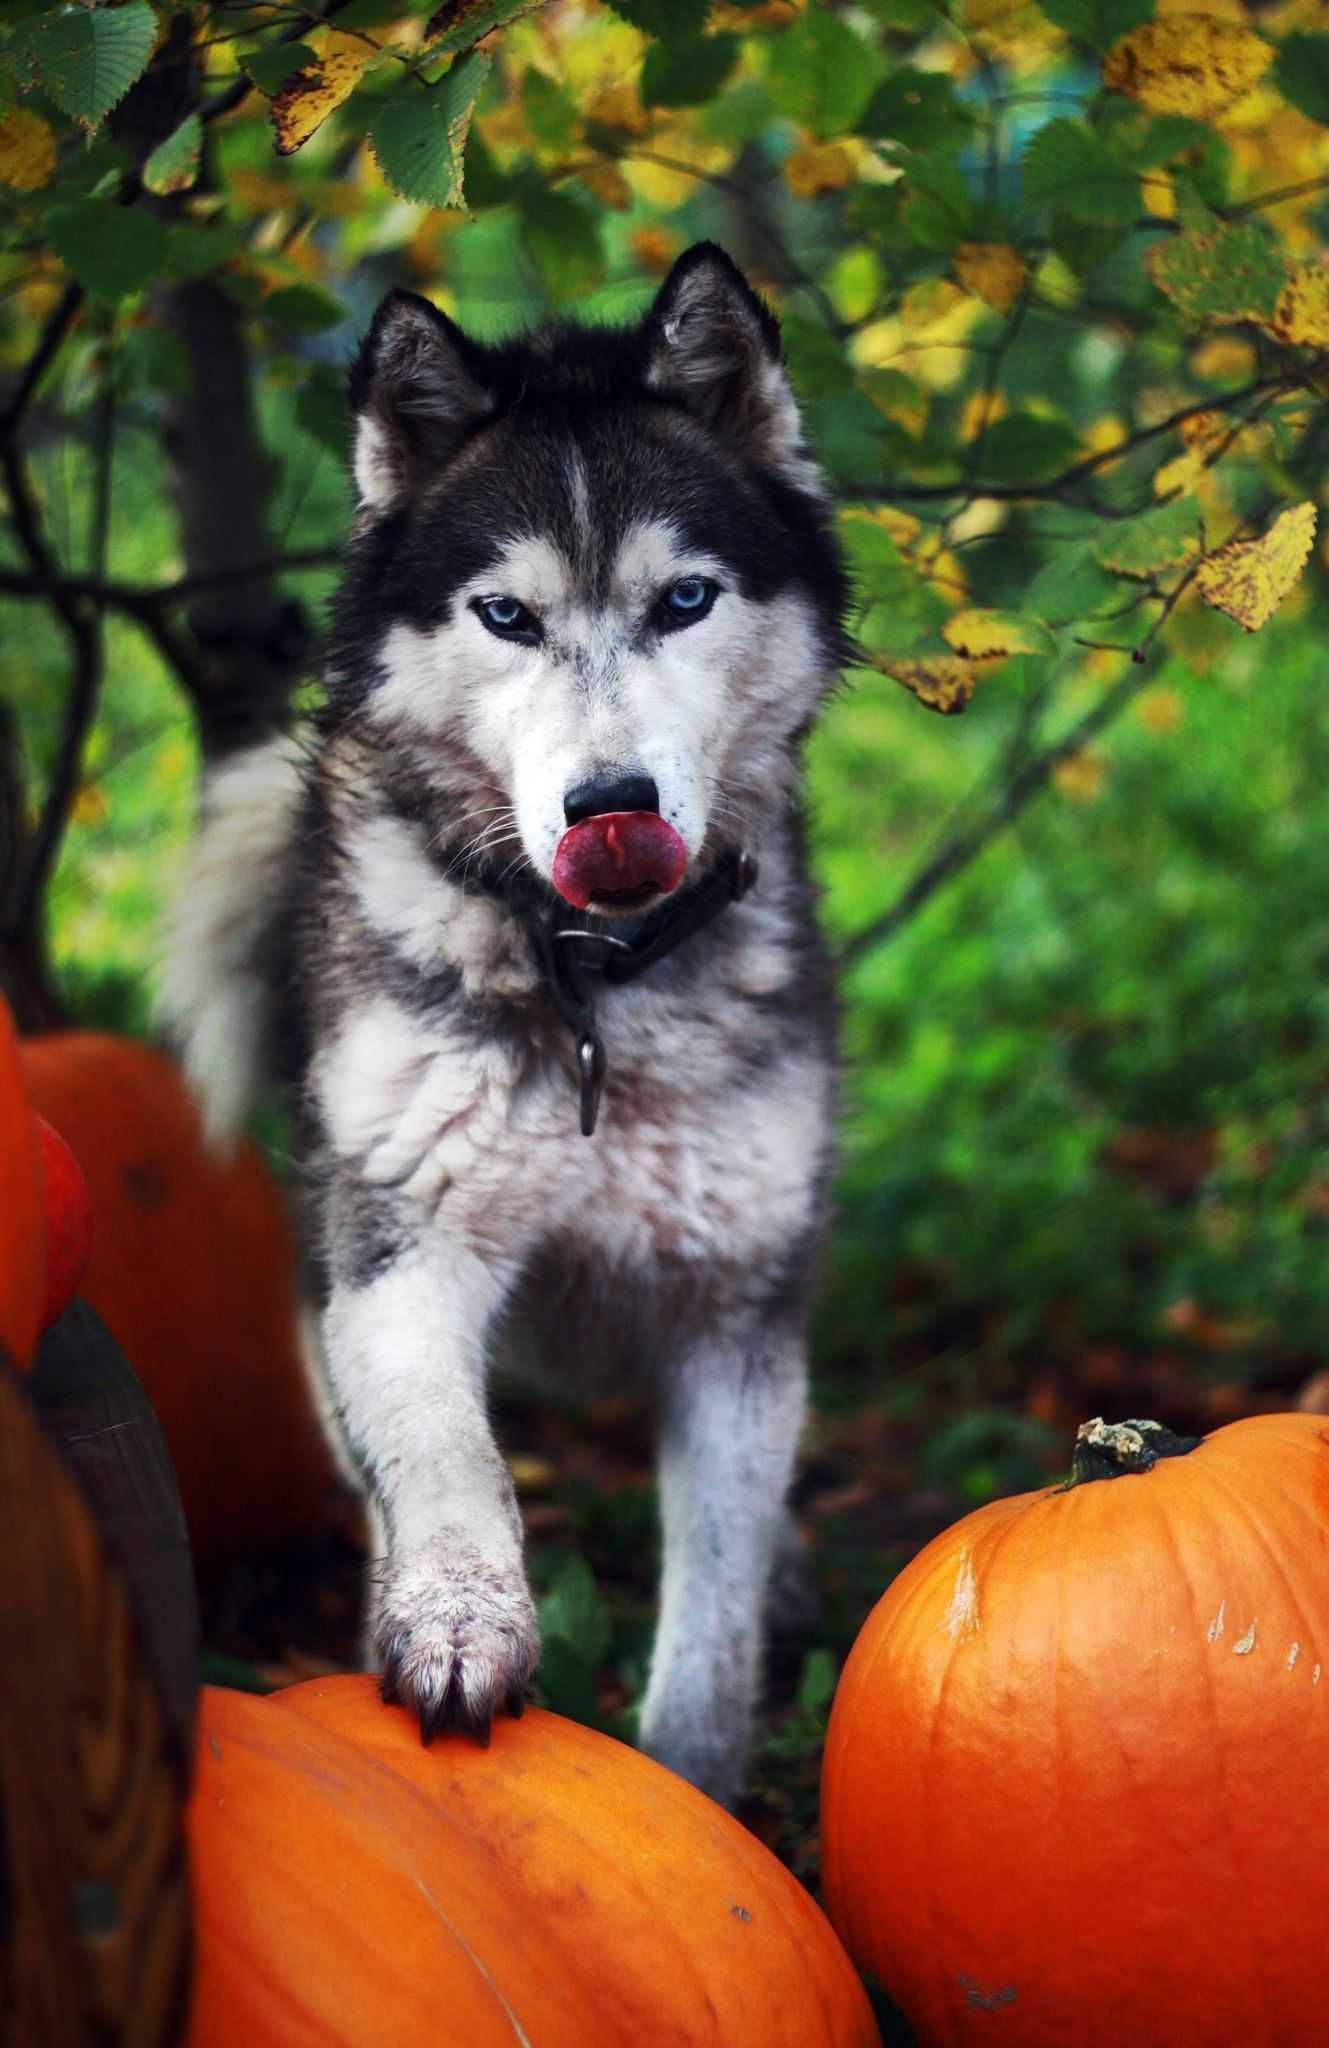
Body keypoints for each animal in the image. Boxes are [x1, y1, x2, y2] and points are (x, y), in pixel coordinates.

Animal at [160, 243, 843, 1810]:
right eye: (507, 617)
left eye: (685, 600)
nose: (610, 806)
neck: (595, 986)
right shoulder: (400, 1256)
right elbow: (446, 1459)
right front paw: (457, 1622)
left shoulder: (737, 1316)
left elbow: (710, 1626)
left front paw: (696, 1789)